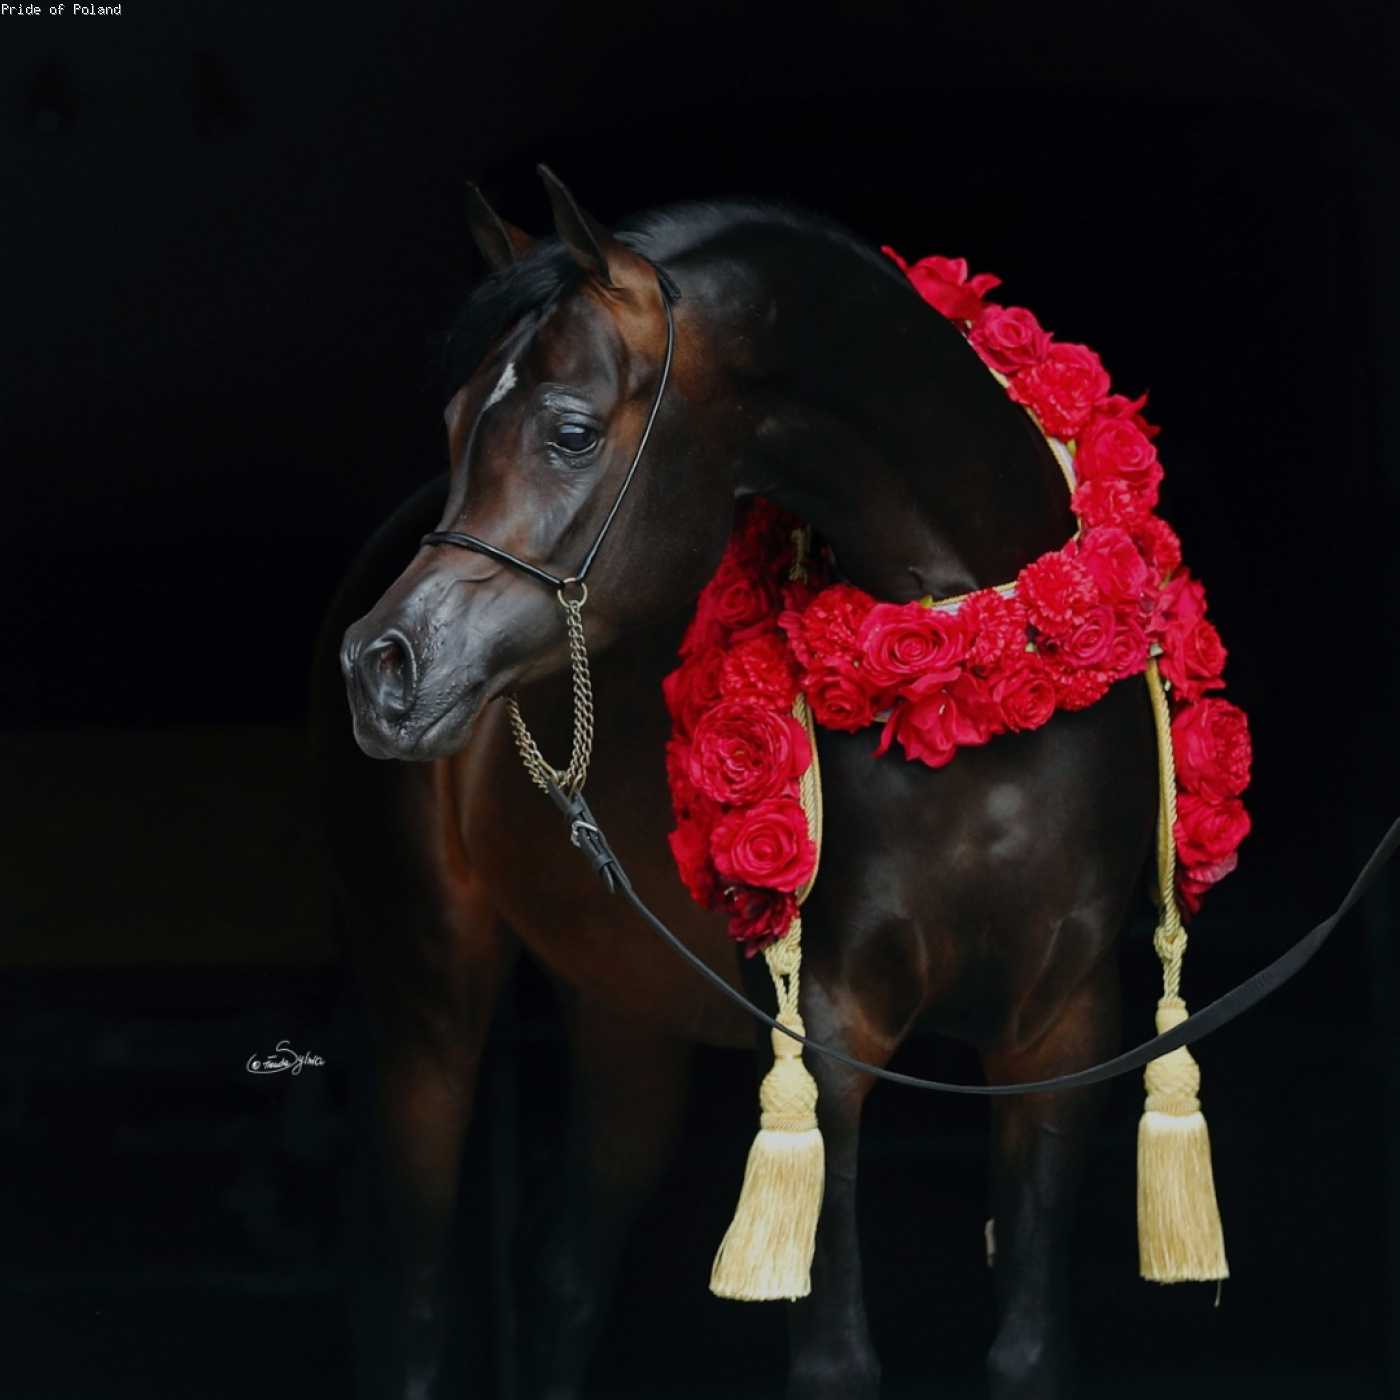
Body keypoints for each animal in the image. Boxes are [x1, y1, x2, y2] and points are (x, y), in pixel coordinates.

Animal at [314, 168, 1158, 1400]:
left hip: (624, 1010)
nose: (381, 668)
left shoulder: (1061, 1035)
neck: (982, 703)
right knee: (418, 1310)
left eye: (570, 431)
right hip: (429, 997)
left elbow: (1031, 1348)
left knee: (567, 1275)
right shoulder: (831, 1040)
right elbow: (837, 1354)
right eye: (455, 422)